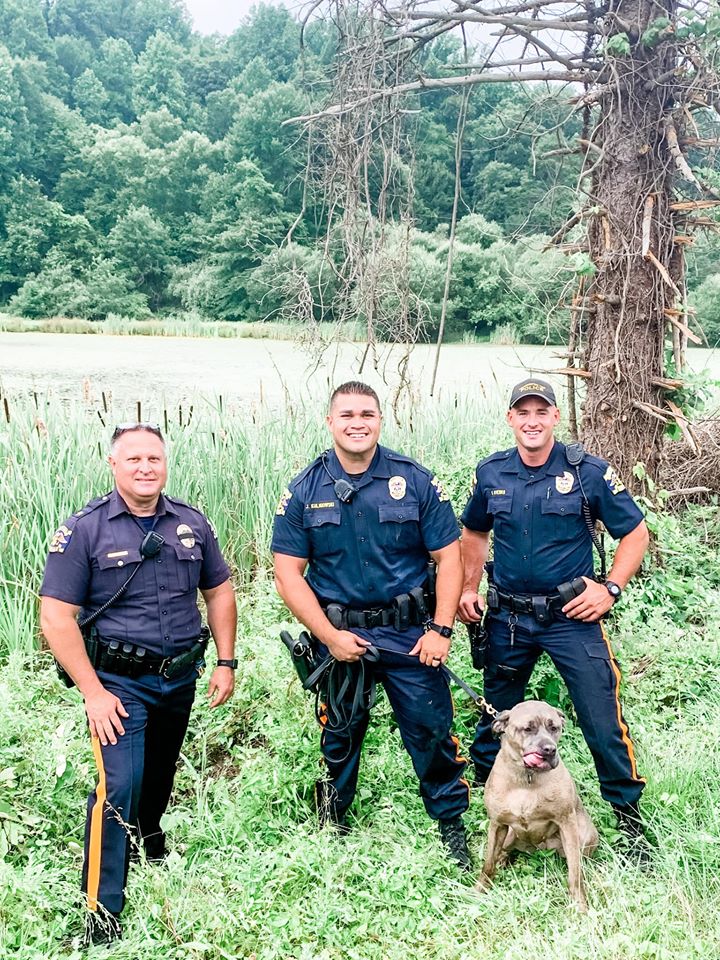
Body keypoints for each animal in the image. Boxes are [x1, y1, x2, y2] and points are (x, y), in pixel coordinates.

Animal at [478, 696, 596, 908]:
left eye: (554, 728)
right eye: (528, 728)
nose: (549, 750)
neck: (526, 778)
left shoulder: (567, 822)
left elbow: (574, 873)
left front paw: (579, 905)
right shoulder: (497, 824)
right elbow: (488, 863)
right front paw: (479, 890)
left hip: (585, 836)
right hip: (508, 834)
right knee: (502, 852)